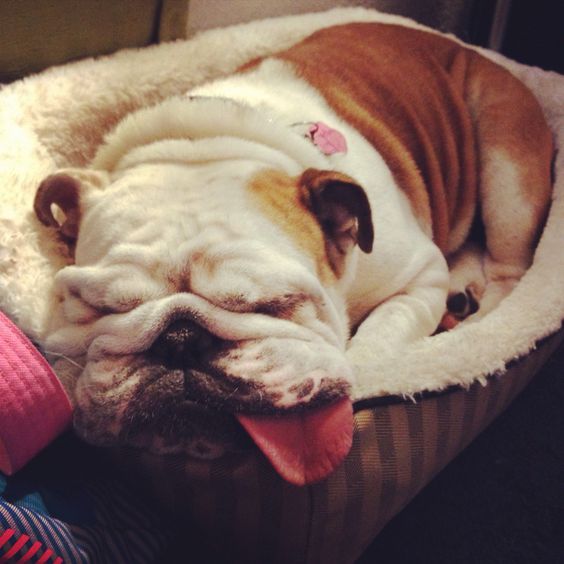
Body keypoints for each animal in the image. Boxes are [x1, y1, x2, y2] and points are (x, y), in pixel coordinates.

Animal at [33, 22, 552, 484]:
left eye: (275, 305)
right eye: (97, 307)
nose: (179, 339)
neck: (205, 149)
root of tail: (467, 48)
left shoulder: (419, 275)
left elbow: (381, 333)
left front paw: (365, 364)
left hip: (508, 172)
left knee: (509, 267)